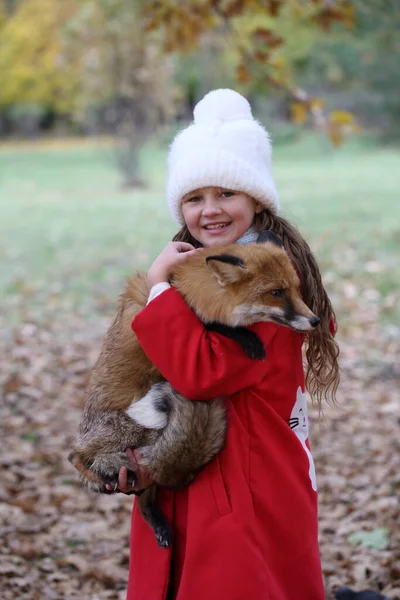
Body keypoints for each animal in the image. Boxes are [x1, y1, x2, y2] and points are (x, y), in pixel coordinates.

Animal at [68, 231, 318, 548]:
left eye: (297, 290)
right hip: (133, 431)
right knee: (76, 456)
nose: (315, 320)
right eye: (276, 292)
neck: (186, 290)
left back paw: (159, 524)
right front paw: (249, 339)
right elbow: (215, 326)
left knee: (144, 495)